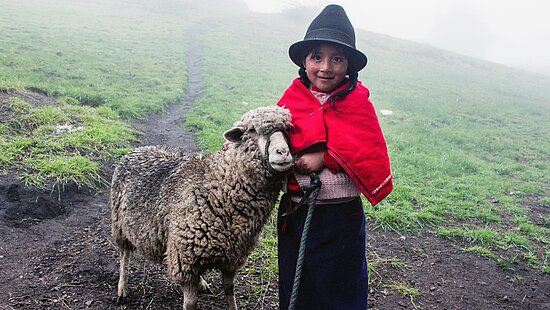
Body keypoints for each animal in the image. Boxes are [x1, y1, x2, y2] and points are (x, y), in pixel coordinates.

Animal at [109, 106, 296, 310]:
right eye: (252, 130)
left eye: (289, 130)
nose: (283, 152)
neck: (219, 188)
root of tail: (137, 150)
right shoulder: (185, 258)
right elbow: (190, 302)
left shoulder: (231, 256)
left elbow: (229, 292)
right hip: (120, 224)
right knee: (124, 255)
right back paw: (122, 289)